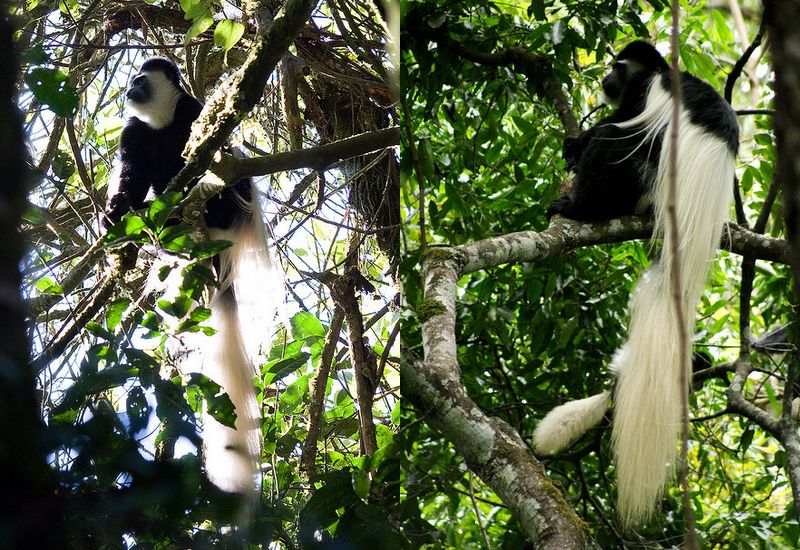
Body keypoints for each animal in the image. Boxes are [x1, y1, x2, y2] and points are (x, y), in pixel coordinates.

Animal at [106, 59, 276, 500]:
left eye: (140, 79)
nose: (129, 89)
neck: (162, 123)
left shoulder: (192, 112)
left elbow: (215, 142)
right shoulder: (134, 133)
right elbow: (130, 175)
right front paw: (115, 212)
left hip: (232, 206)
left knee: (230, 179)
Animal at [536, 42, 736, 528]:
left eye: (617, 67)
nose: (606, 78)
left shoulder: (649, 93)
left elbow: (618, 127)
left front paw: (583, 141)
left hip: (646, 180)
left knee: (618, 146)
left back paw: (580, 208)